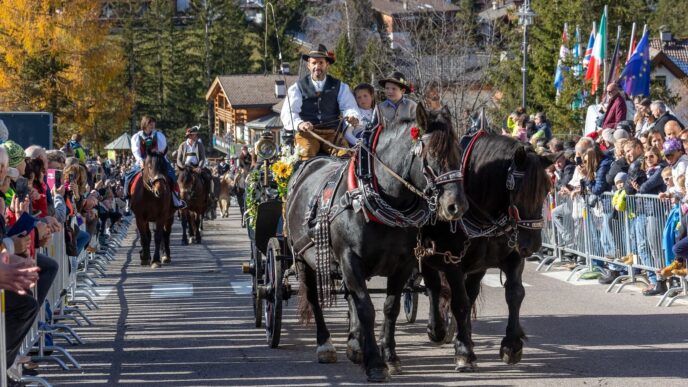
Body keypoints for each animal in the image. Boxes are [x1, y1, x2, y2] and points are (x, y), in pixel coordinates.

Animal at [284, 104, 468, 384]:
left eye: (459, 153)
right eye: (432, 155)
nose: (456, 206)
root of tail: (311, 164)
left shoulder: (403, 264)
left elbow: (389, 308)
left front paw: (389, 356)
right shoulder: (350, 259)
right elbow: (366, 308)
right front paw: (375, 364)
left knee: (350, 297)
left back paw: (354, 345)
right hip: (302, 258)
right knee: (315, 299)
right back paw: (325, 345)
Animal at [414, 133, 552, 372]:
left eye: (546, 189)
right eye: (518, 190)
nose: (533, 245)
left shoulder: (512, 256)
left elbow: (515, 294)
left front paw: (511, 345)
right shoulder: (452, 261)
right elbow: (459, 303)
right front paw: (464, 352)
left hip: (478, 266)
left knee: (467, 293)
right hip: (427, 254)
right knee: (434, 287)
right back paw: (437, 329)